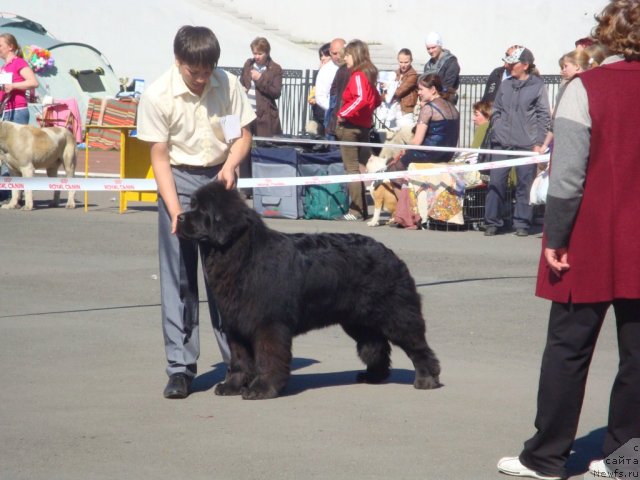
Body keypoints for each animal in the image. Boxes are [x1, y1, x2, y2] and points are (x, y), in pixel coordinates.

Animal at [179, 182, 440, 400]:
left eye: (203, 210)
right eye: (192, 205)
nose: (179, 217)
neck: (242, 256)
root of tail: (390, 253)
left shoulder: (268, 324)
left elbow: (268, 357)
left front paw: (262, 388)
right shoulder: (236, 325)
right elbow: (239, 360)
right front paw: (232, 386)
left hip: (396, 315)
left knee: (417, 346)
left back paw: (427, 379)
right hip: (358, 320)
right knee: (376, 346)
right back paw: (373, 376)